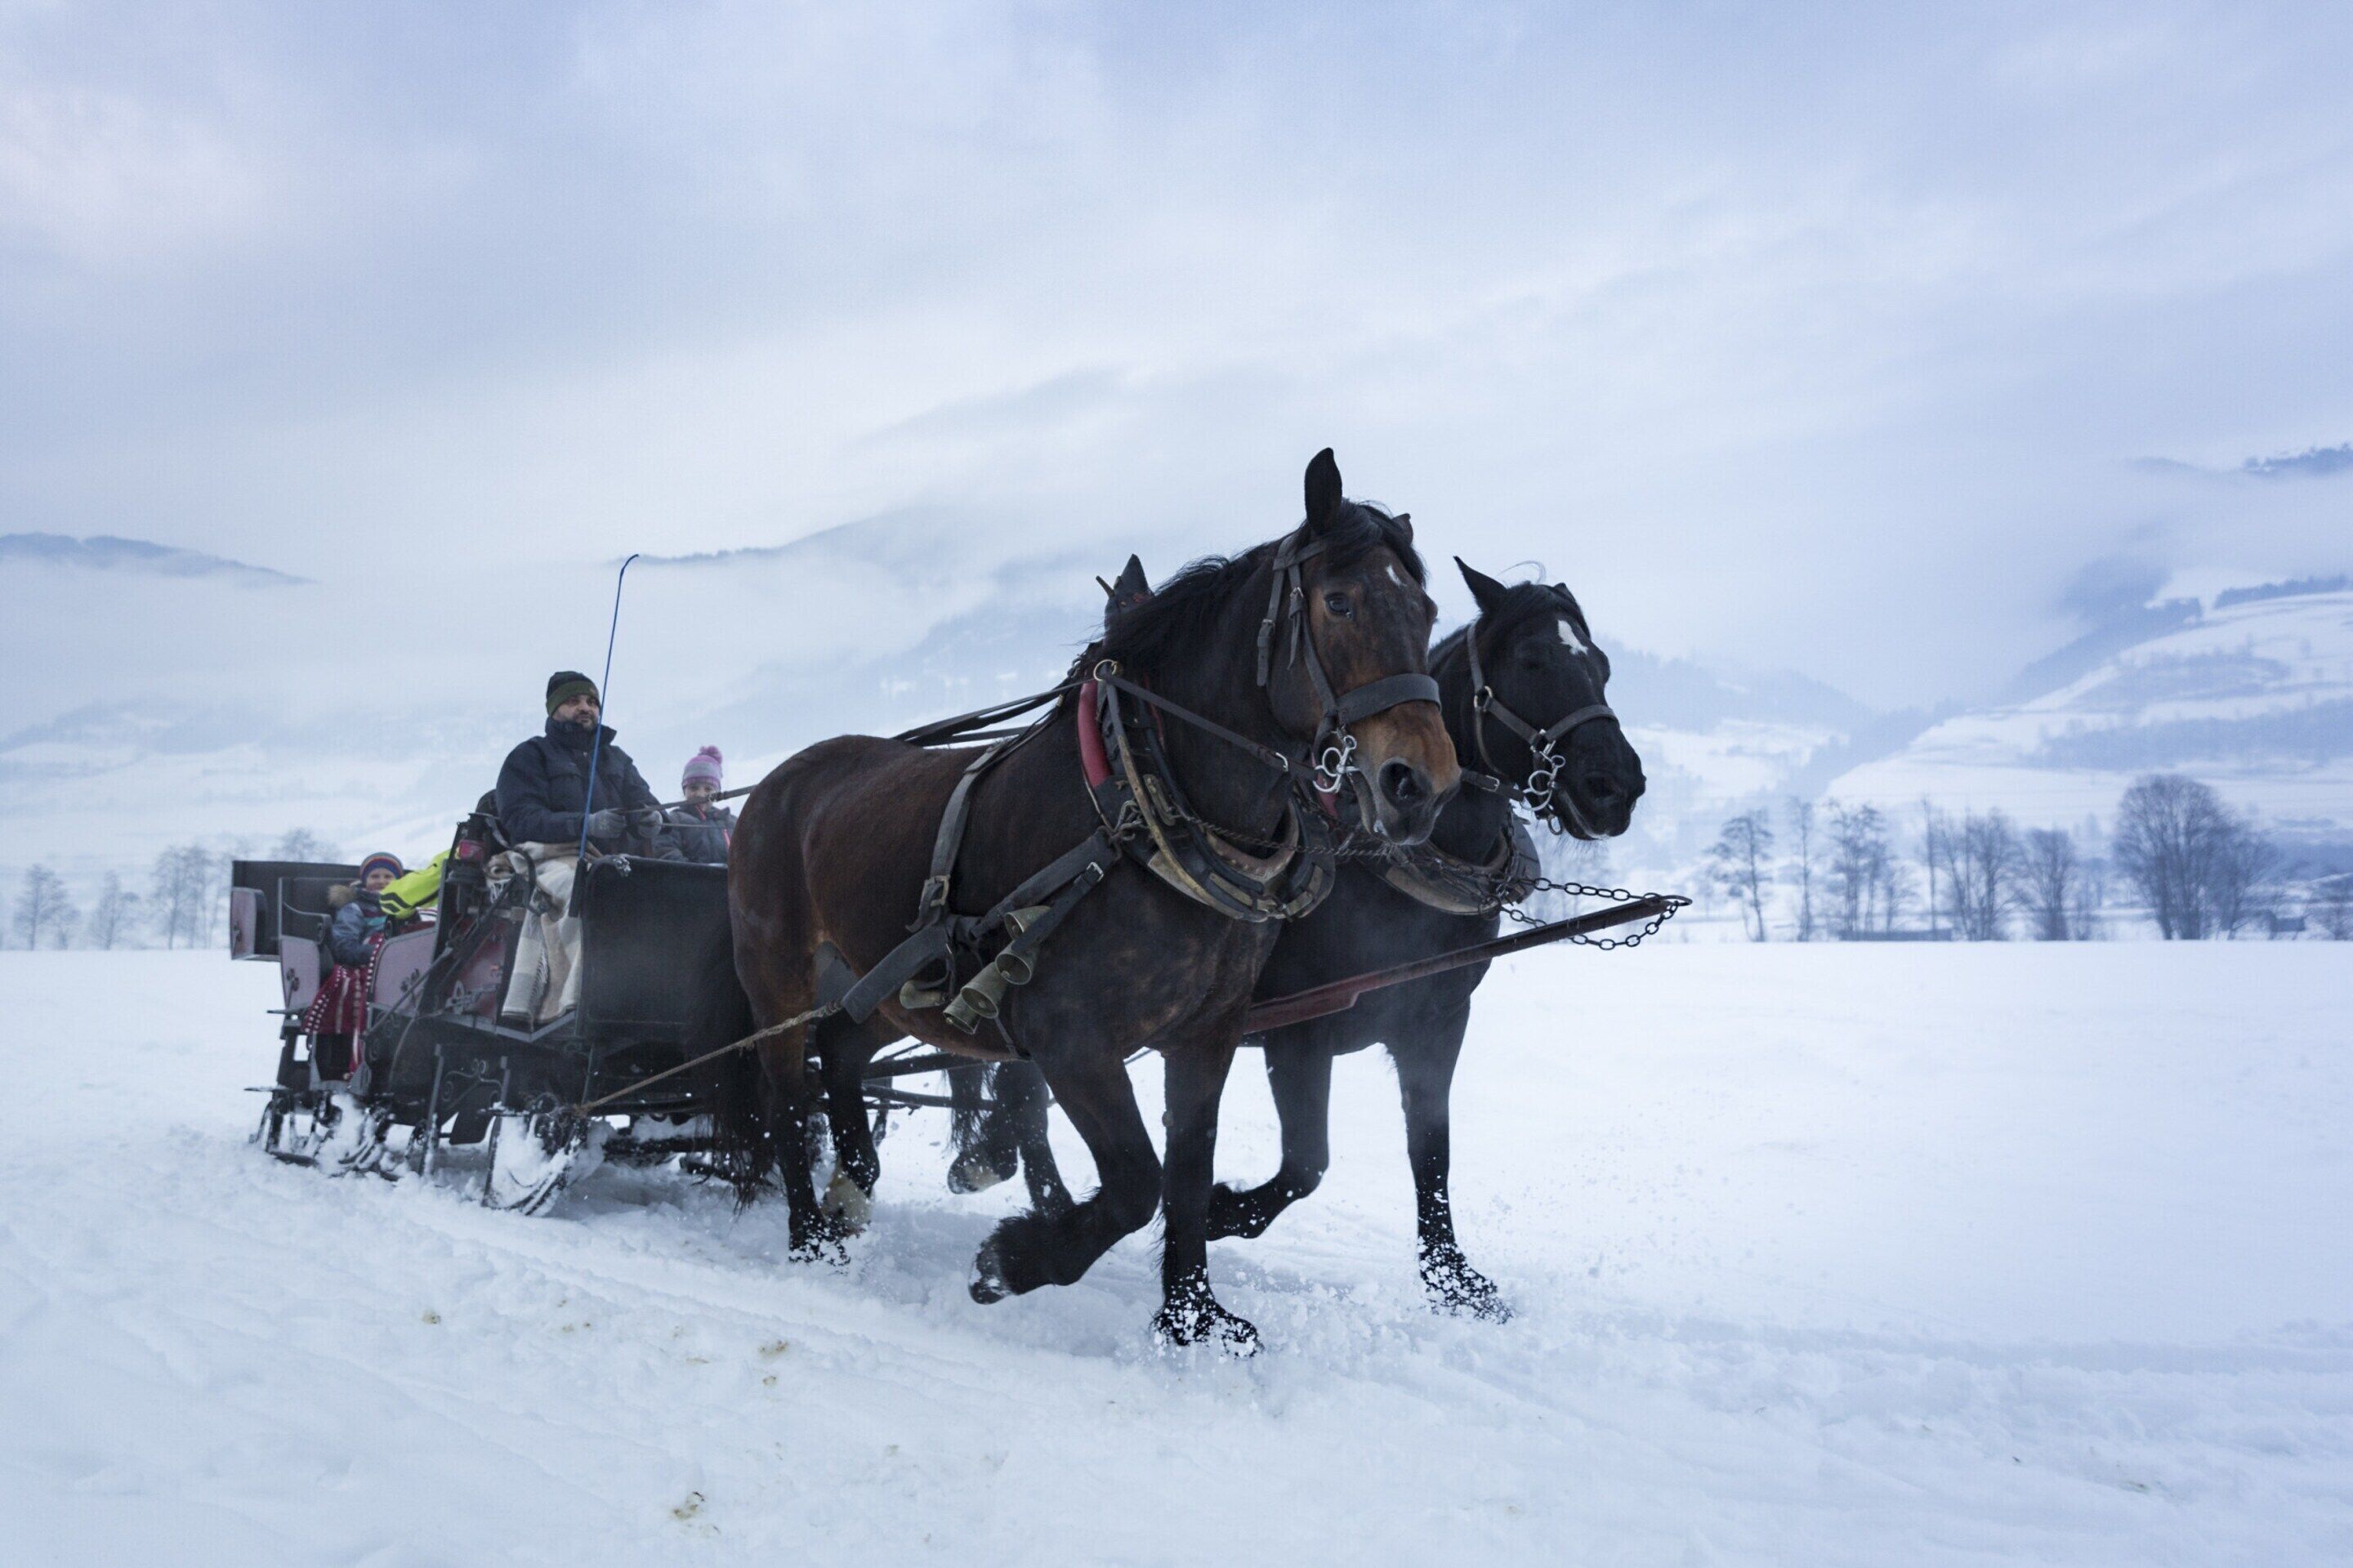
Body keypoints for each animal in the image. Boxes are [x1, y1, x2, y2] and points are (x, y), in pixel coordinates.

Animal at [694, 450, 1460, 1349]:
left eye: (1427, 607)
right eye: (1339, 601)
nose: (1421, 784)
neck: (1141, 808)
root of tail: (774, 785)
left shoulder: (1207, 1033)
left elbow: (1187, 1172)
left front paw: (1192, 1313)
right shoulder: (1071, 1037)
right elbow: (1136, 1181)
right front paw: (1014, 1261)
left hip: (886, 982)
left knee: (842, 1045)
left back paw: (853, 1184)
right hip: (777, 972)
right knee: (786, 1095)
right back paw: (810, 1230)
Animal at [1203, 559, 1646, 1317]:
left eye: (1604, 666)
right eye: (1532, 659)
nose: (1616, 786)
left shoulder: (1436, 1022)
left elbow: (1431, 1148)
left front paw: (1453, 1278)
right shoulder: (1300, 1032)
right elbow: (1305, 1164)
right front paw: (1213, 1207)